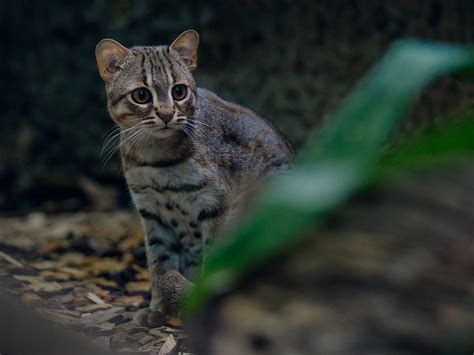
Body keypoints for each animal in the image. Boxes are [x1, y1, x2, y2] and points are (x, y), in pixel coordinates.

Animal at [94, 29, 292, 326]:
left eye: (179, 91)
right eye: (141, 95)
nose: (166, 114)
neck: (156, 159)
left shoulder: (216, 206)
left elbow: (211, 257)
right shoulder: (151, 213)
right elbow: (159, 263)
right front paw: (158, 308)